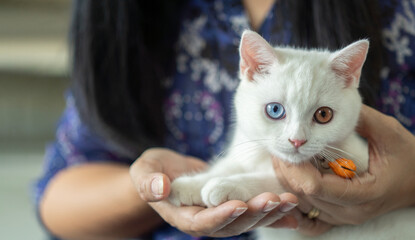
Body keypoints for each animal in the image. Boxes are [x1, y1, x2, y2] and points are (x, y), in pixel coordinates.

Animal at [169, 31, 415, 239]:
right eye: (275, 110)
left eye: (323, 114)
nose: (297, 140)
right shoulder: (247, 148)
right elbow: (227, 165)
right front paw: (187, 185)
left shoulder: (357, 160)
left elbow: (275, 182)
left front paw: (227, 185)